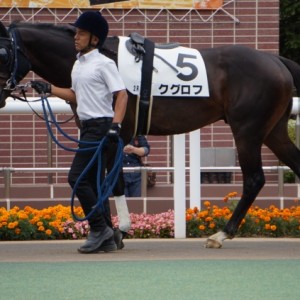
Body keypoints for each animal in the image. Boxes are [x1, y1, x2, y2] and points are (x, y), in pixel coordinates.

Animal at [0, 21, 300, 248]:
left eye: (2, 53)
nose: (2, 97)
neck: (100, 58)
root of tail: (275, 59)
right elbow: (97, 181)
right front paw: (107, 231)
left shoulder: (117, 133)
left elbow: (114, 182)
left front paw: (120, 230)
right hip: (273, 132)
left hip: (247, 131)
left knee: (254, 179)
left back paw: (221, 234)